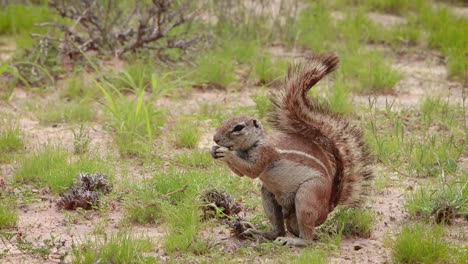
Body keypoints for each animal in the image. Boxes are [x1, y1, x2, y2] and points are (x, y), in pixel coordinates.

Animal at [212, 53, 372, 248]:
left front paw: (225, 153)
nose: (215, 138)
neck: (253, 144)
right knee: (280, 229)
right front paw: (214, 151)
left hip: (307, 195)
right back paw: (257, 232)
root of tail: (328, 207)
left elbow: (252, 170)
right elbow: (241, 173)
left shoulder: (266, 152)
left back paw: (294, 241)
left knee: (308, 237)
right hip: (269, 196)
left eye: (238, 127)